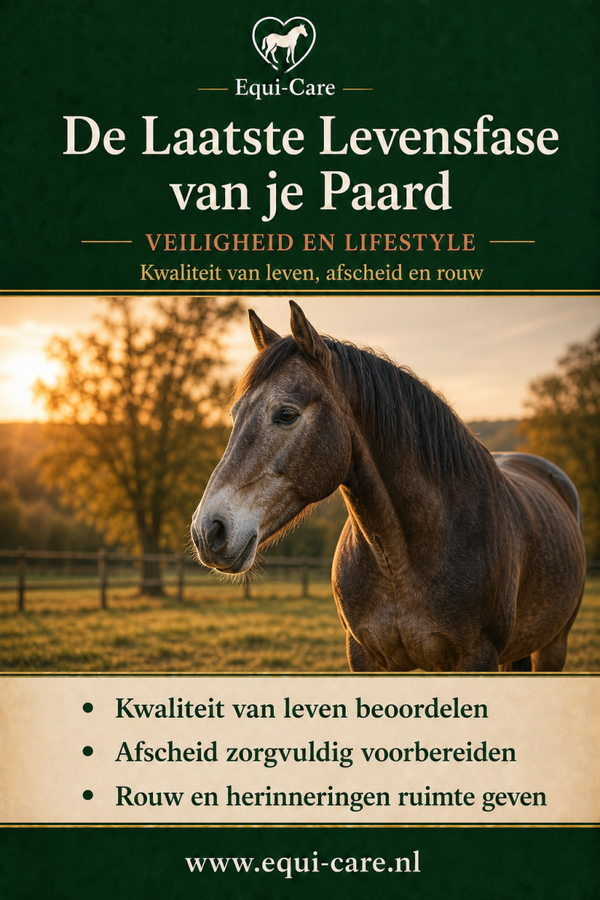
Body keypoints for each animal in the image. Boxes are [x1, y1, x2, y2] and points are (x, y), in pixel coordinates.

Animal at [191, 302, 586, 673]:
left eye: (286, 414)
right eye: (235, 414)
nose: (207, 531)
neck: (401, 559)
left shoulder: (477, 658)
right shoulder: (364, 656)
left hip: (553, 646)